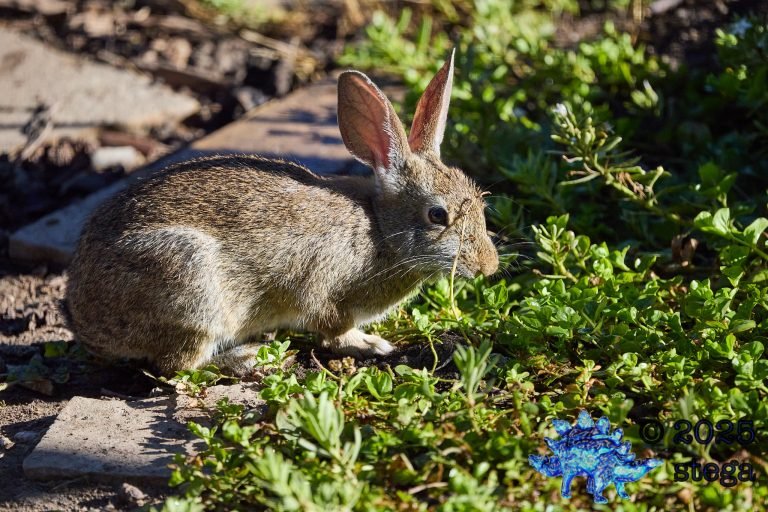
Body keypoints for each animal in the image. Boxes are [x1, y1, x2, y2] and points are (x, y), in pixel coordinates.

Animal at [64, 50, 499, 376]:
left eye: (479, 203)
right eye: (437, 215)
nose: (489, 267)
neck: (379, 227)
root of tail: (86, 321)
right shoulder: (325, 290)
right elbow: (334, 331)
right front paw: (373, 344)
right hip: (189, 286)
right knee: (177, 365)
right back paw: (247, 358)